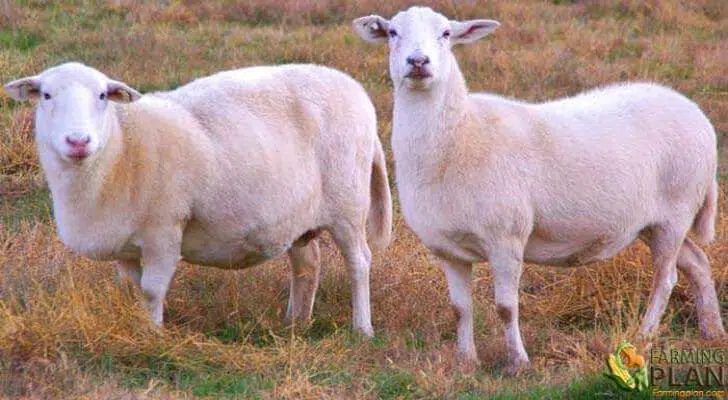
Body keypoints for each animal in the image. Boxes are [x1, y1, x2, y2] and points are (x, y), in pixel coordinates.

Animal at [5, 61, 392, 334]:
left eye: (102, 96)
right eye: (46, 96)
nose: (78, 141)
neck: (120, 148)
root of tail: (355, 89)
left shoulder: (164, 230)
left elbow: (151, 290)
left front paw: (154, 335)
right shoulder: (124, 245)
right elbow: (131, 289)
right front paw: (138, 326)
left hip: (348, 203)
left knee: (359, 262)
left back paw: (362, 328)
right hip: (297, 217)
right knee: (308, 264)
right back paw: (296, 323)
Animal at [352, 6, 724, 374]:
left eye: (446, 33)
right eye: (392, 32)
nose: (418, 61)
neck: (460, 135)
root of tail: (694, 111)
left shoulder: (506, 238)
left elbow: (505, 307)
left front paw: (518, 363)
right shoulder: (447, 249)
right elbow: (460, 308)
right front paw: (466, 360)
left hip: (676, 211)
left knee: (667, 278)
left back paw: (644, 335)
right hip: (652, 223)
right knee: (697, 262)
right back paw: (713, 330)